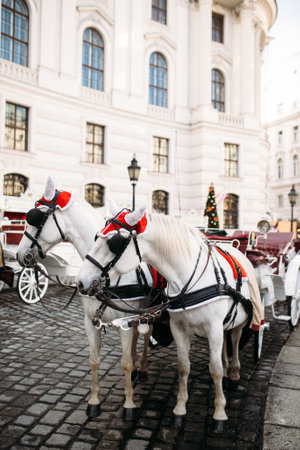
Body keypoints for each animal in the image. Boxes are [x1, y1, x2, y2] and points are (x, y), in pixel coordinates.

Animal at [15, 178, 159, 418]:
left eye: (35, 217)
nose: (19, 254)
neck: (105, 274)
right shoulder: (91, 322)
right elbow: (94, 361)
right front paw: (94, 401)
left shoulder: (125, 324)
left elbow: (125, 363)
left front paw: (129, 404)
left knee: (145, 337)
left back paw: (144, 367)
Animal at [77, 206, 262, 430]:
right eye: (96, 237)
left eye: (114, 242)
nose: (80, 281)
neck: (190, 278)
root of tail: (236, 249)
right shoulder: (179, 327)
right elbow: (183, 367)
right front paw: (180, 410)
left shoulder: (214, 328)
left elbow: (215, 369)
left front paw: (219, 413)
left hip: (239, 322)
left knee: (234, 340)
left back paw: (233, 373)